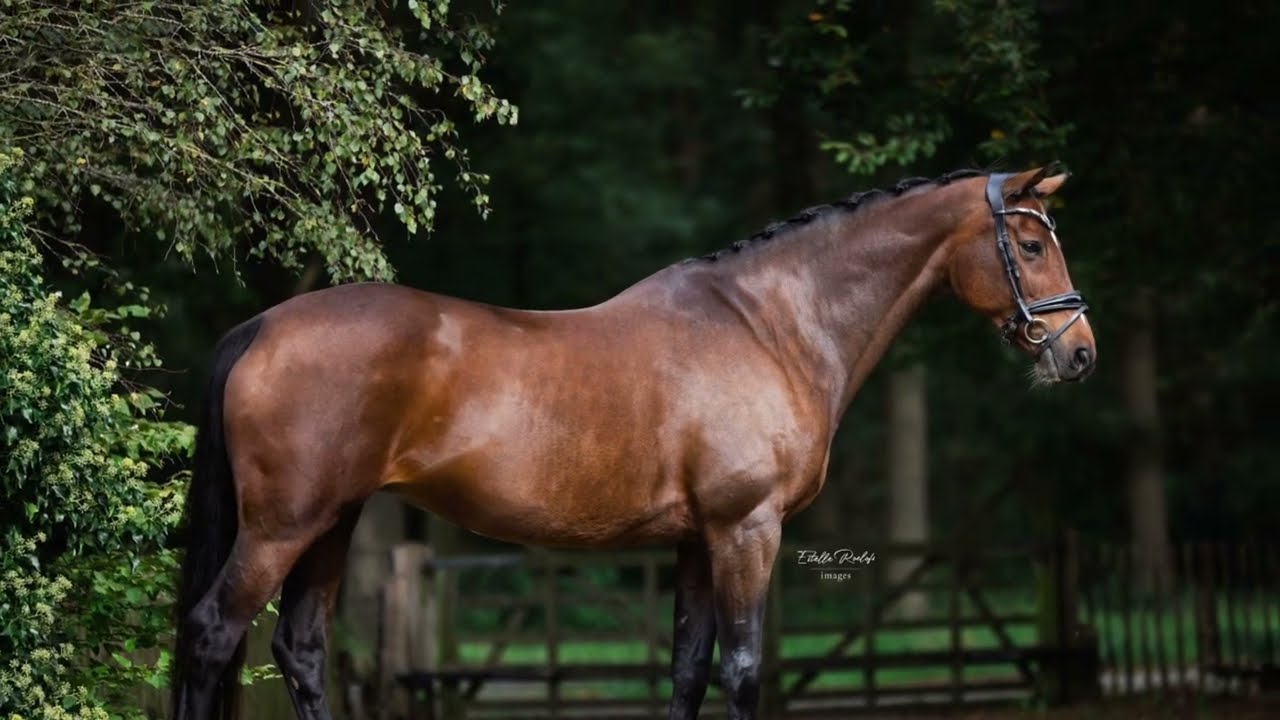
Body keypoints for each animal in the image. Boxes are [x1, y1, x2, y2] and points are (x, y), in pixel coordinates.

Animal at [170, 166, 1094, 720]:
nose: (1079, 353)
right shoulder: (746, 530)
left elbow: (688, 666)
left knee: (300, 650)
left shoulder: (695, 540)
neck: (766, 328)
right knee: (211, 632)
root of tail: (261, 326)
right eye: (1030, 244)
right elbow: (744, 668)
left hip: (332, 522)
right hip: (283, 528)